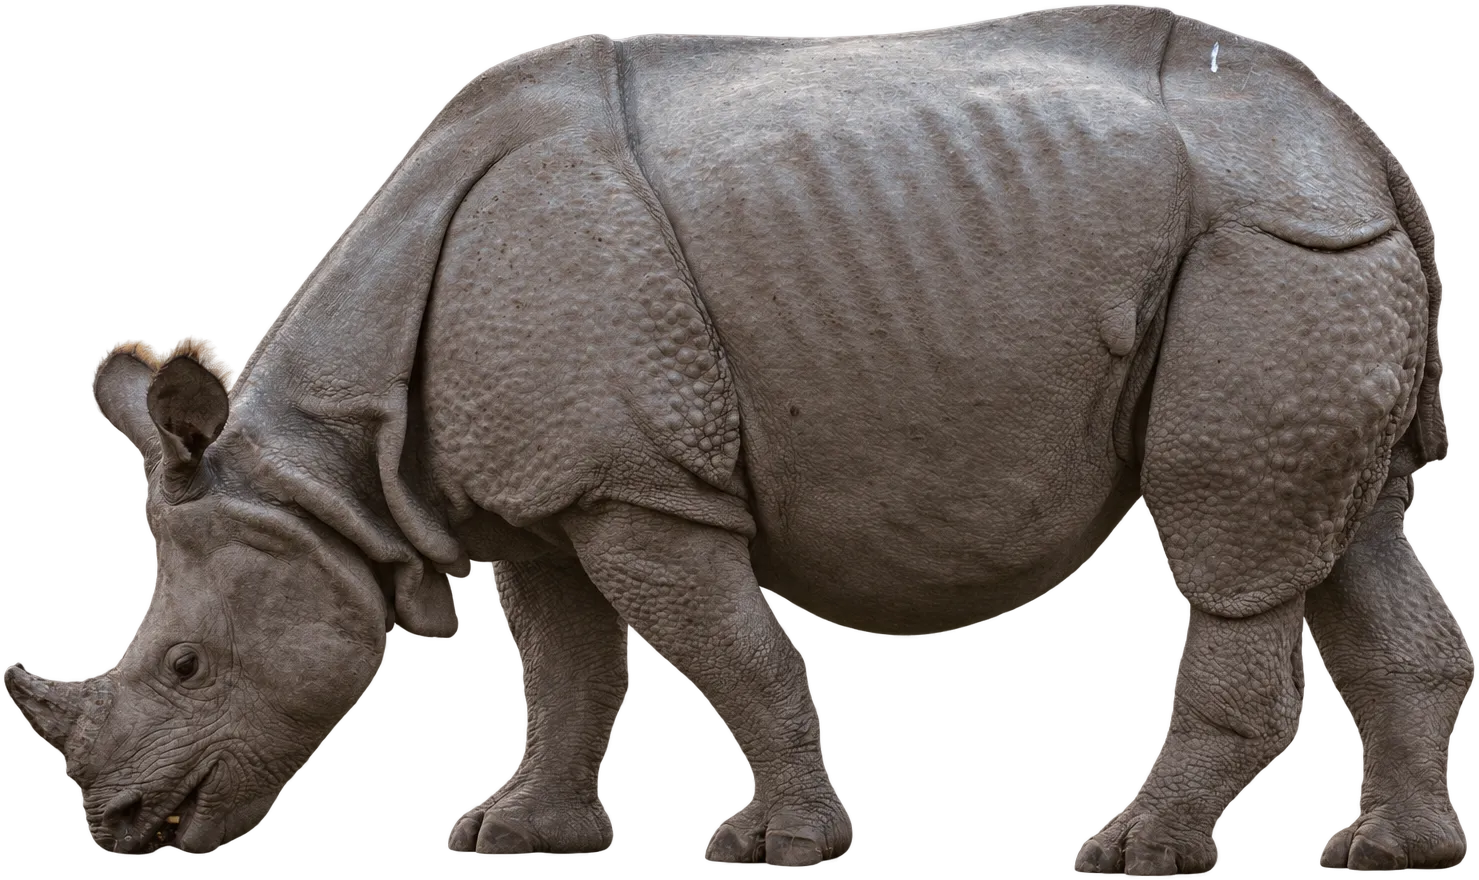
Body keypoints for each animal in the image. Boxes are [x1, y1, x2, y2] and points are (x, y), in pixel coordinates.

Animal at [5, 6, 1470, 872]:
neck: (330, 465)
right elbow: (563, 667)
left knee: (1229, 545)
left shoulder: (638, 484)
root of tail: (1352, 138)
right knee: (1346, 535)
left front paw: (774, 844)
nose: (112, 826)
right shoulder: (543, 496)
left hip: (1269, 248)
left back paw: (1130, 852)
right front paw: (512, 831)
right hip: (1314, 249)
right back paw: (1389, 850)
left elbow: (728, 654)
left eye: (185, 666)